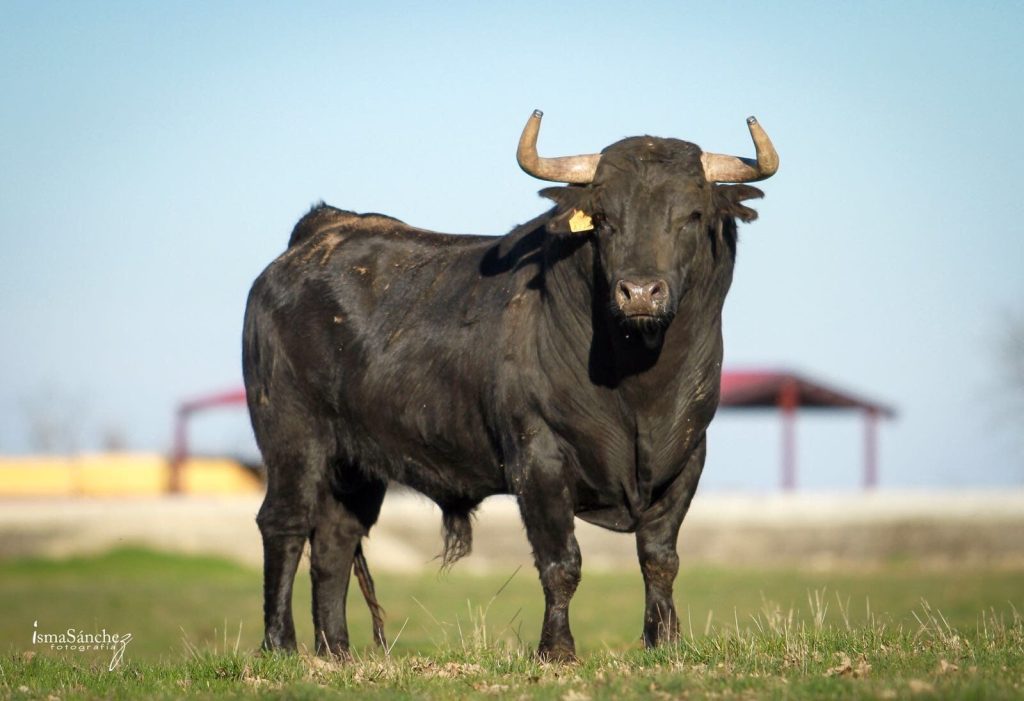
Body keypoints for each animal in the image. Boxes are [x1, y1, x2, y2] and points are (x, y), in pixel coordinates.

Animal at [242, 110, 778, 661]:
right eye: (604, 217)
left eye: (692, 214)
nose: (640, 292)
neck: (639, 390)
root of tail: (316, 236)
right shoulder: (537, 457)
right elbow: (561, 563)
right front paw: (557, 649)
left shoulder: (687, 456)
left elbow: (660, 558)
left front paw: (663, 641)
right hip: (292, 437)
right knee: (284, 524)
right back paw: (280, 644)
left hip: (355, 462)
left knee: (334, 539)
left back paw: (336, 652)